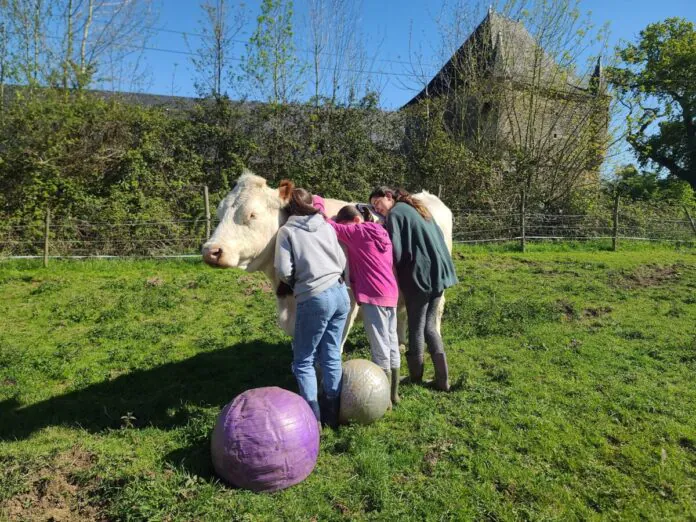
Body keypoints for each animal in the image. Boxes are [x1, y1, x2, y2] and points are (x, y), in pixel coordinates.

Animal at [198, 172, 454, 346]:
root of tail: (425, 196)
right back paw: (400, 343)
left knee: (435, 313)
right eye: (220, 212)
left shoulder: (347, 307)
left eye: (252, 214)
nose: (211, 250)